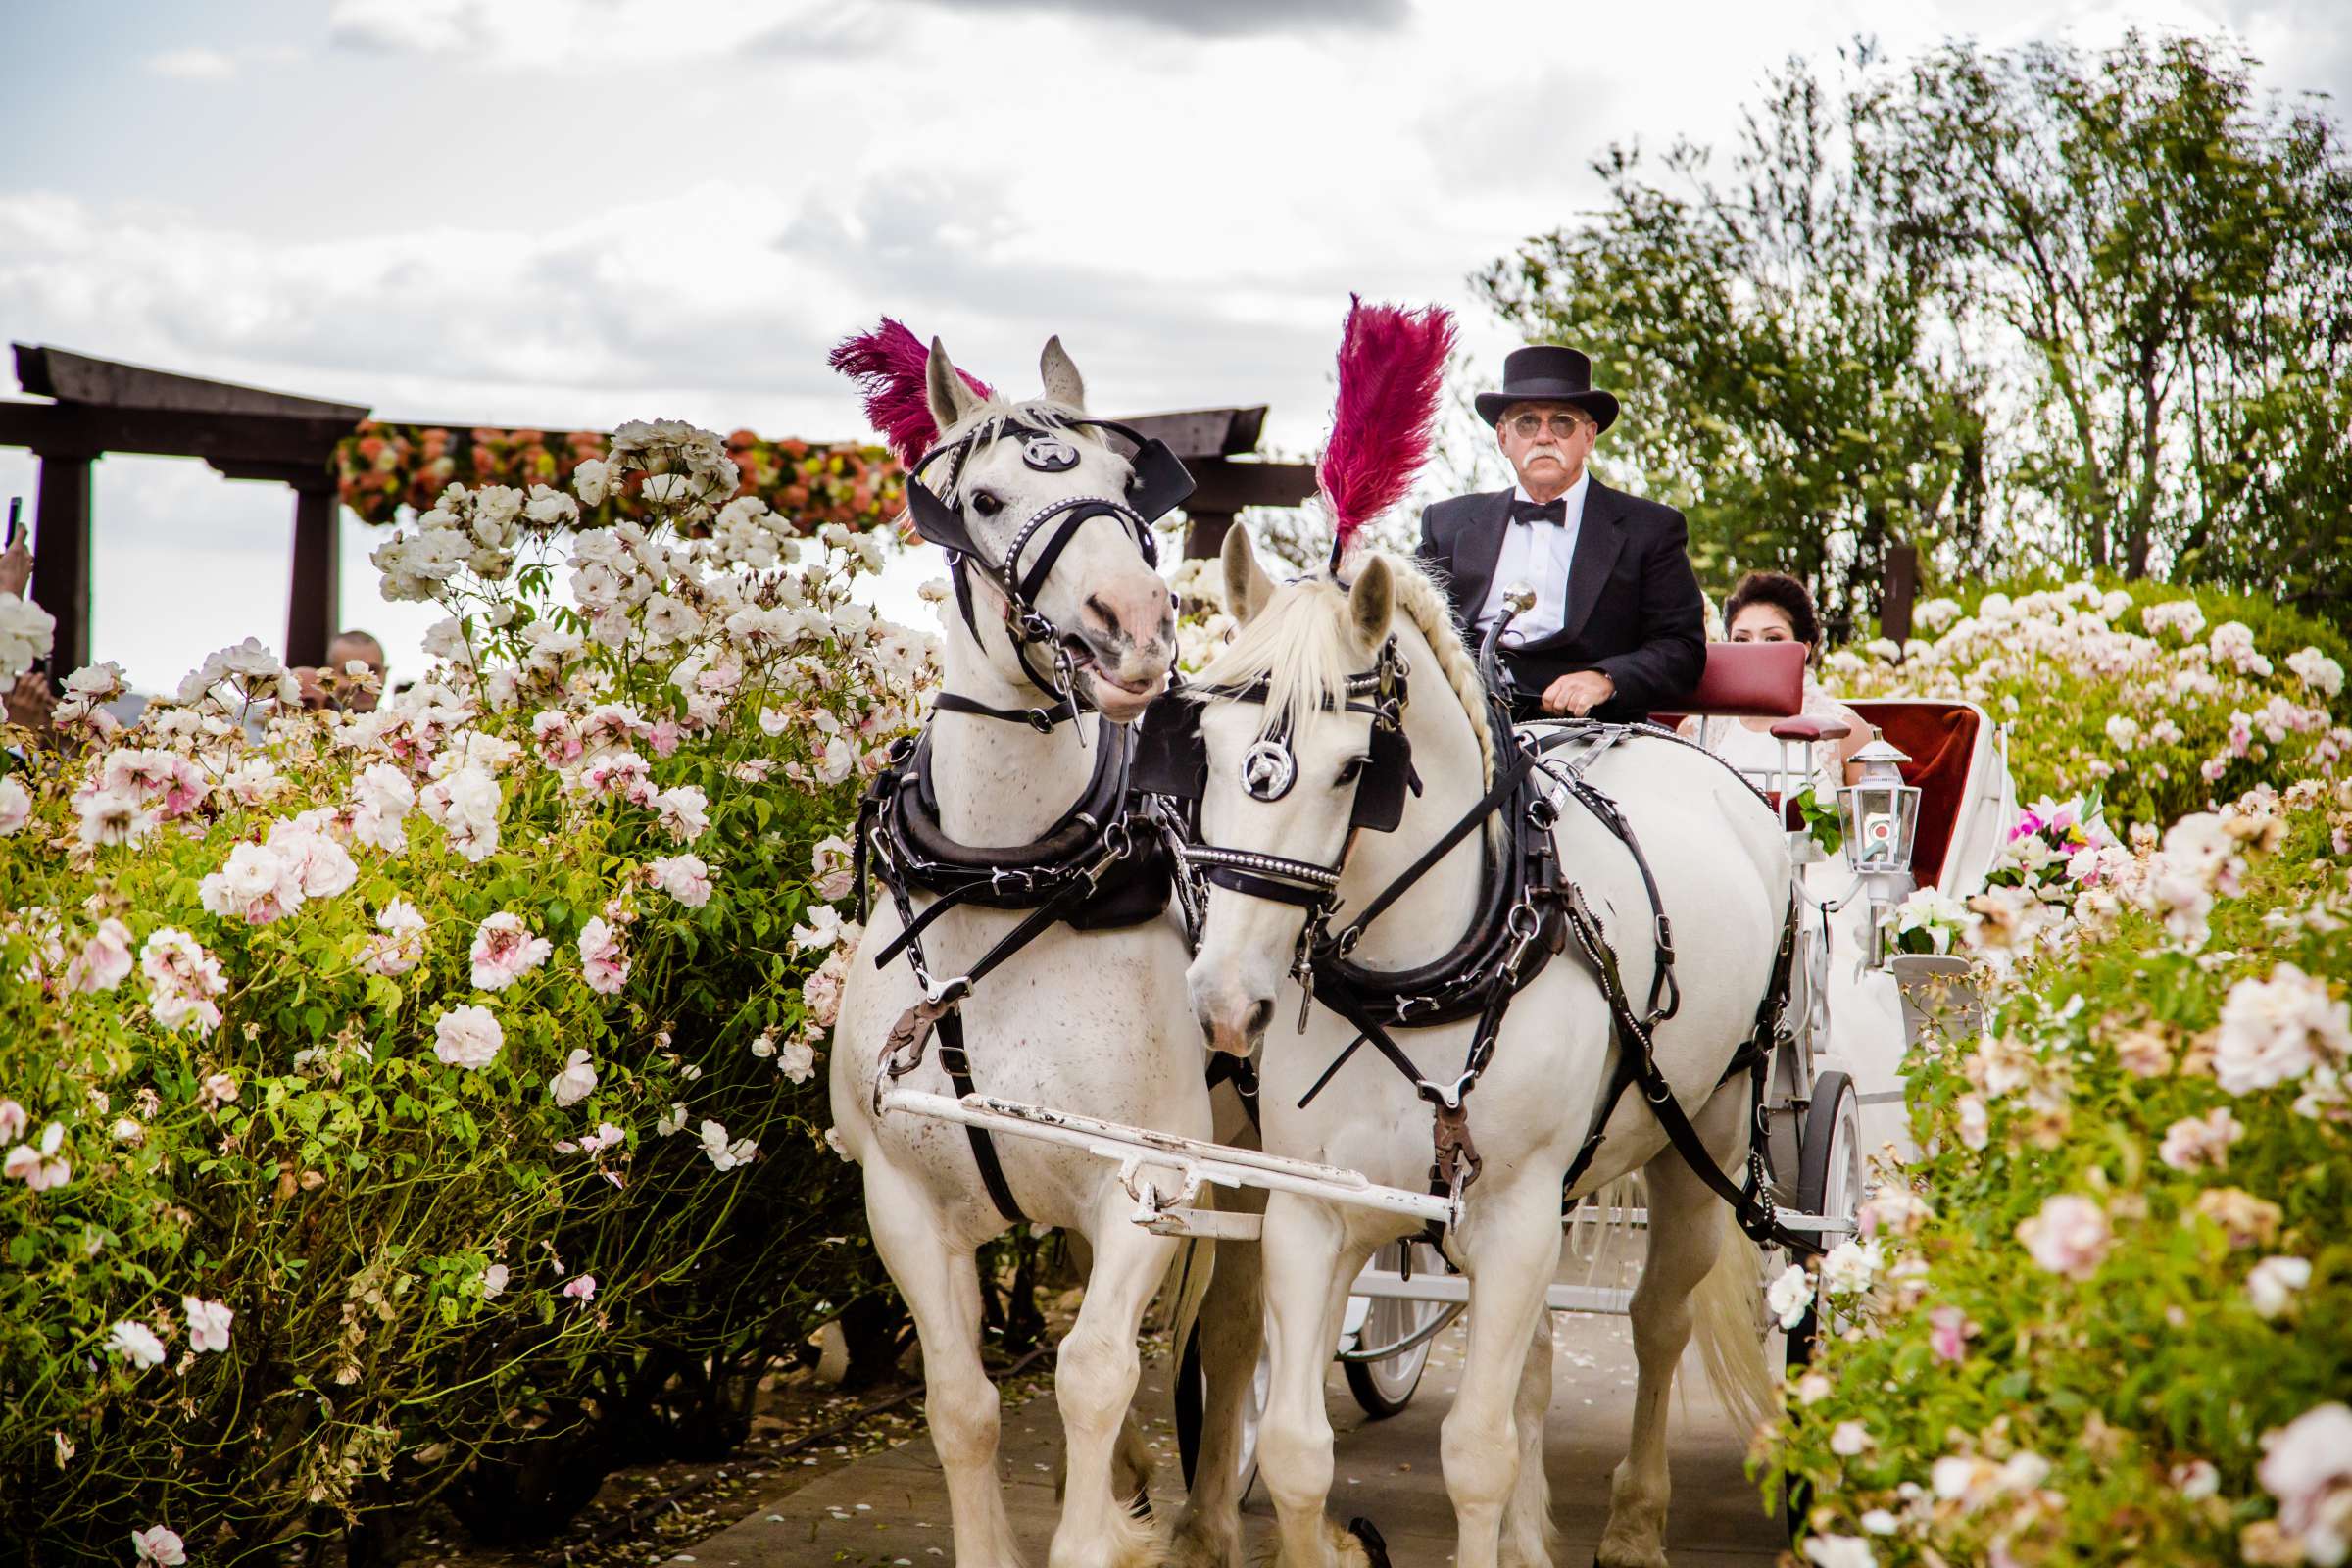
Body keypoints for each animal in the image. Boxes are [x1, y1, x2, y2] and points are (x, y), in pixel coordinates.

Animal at [832, 340, 1260, 1568]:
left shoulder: (1149, 1185)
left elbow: (1095, 1371)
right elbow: (963, 1404)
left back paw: (1203, 1514)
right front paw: (1088, 1504)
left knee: (1233, 1332)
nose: (1138, 621)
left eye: (1126, 487)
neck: (1002, 877)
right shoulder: (901, 1202)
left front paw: (1102, 1527)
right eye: (981, 499)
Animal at [1176, 531, 1778, 1568]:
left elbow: (1476, 1453)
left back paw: (1634, 1521)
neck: (1421, 972)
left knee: (1657, 1322)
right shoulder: (1315, 1209)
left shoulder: (1513, 1214)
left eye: (1354, 772)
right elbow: (1295, 1447)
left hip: (1708, 1139)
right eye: (1208, 746)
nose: (1224, 1003)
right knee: (1535, 1354)